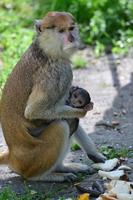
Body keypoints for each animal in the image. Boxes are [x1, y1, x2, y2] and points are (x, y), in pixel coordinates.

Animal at [0, 11, 106, 182]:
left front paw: (96, 155)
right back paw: (44, 176)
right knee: (62, 125)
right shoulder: (59, 72)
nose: (72, 39)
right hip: (33, 159)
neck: (44, 50)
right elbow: (34, 111)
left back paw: (62, 167)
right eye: (61, 31)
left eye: (71, 28)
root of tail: (13, 157)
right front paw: (83, 111)